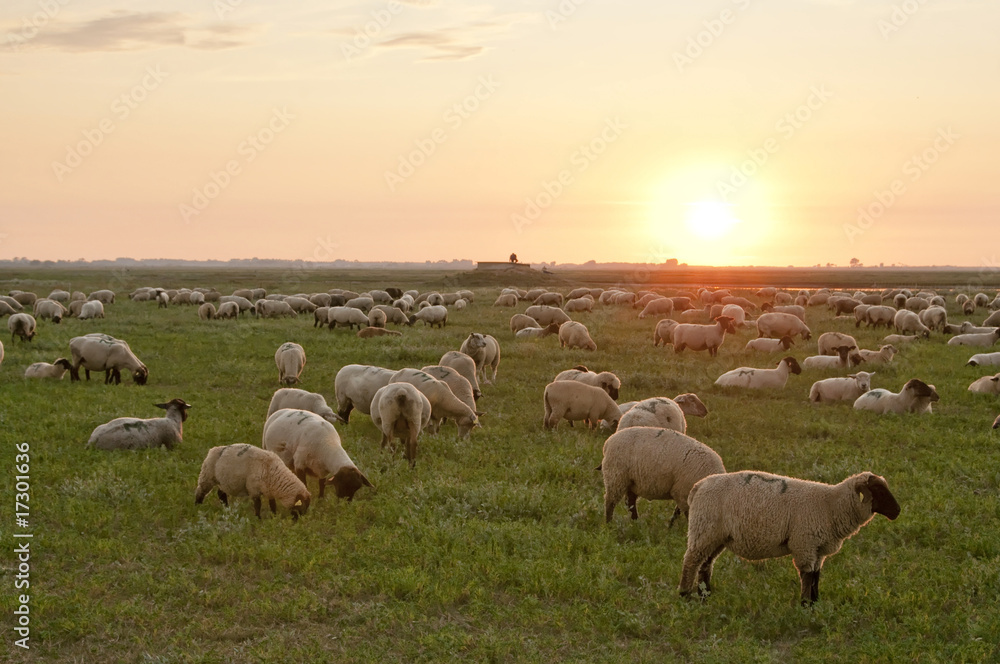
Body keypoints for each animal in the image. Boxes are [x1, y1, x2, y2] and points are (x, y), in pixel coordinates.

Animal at [678, 470, 900, 605]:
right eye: (878, 490)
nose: (897, 511)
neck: (830, 506)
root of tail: (699, 486)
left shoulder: (817, 549)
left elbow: (816, 575)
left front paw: (815, 603)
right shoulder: (804, 544)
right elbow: (807, 576)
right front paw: (805, 605)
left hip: (715, 536)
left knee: (705, 565)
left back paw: (705, 596)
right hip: (704, 529)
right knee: (691, 562)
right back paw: (685, 595)